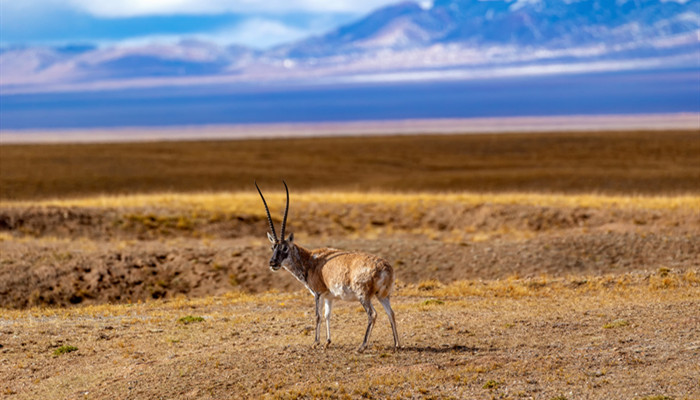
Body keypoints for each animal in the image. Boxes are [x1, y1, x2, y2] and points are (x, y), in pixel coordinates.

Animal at [256, 180, 400, 352]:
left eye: (284, 248)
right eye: (273, 247)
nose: (273, 263)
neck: (310, 260)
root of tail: (385, 267)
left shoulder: (317, 293)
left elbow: (317, 316)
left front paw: (316, 342)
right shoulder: (328, 297)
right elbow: (327, 315)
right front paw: (327, 341)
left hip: (363, 296)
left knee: (373, 314)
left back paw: (362, 346)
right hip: (383, 296)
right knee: (391, 313)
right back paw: (397, 344)